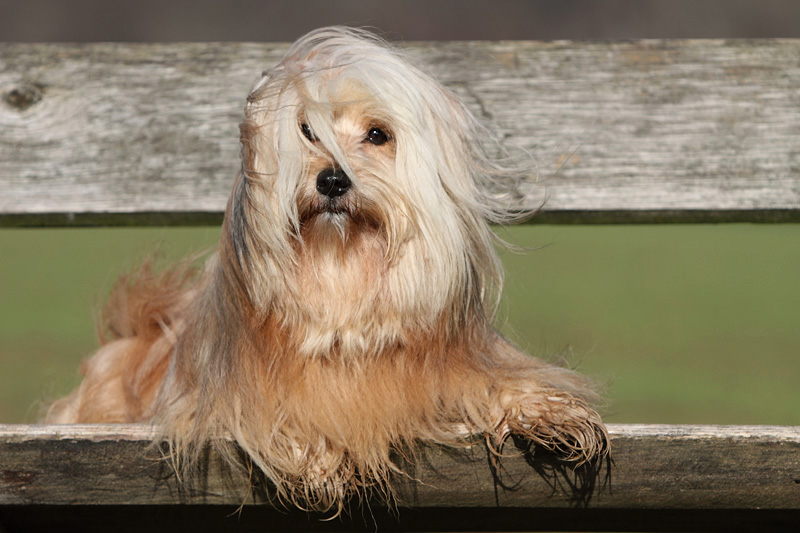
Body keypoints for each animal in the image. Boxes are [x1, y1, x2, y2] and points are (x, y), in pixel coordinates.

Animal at [48, 26, 608, 512]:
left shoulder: (458, 363)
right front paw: (320, 456)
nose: (333, 180)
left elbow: (497, 383)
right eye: (306, 132)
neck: (342, 281)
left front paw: (550, 413)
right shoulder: (230, 402)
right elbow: (286, 417)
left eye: (378, 135)